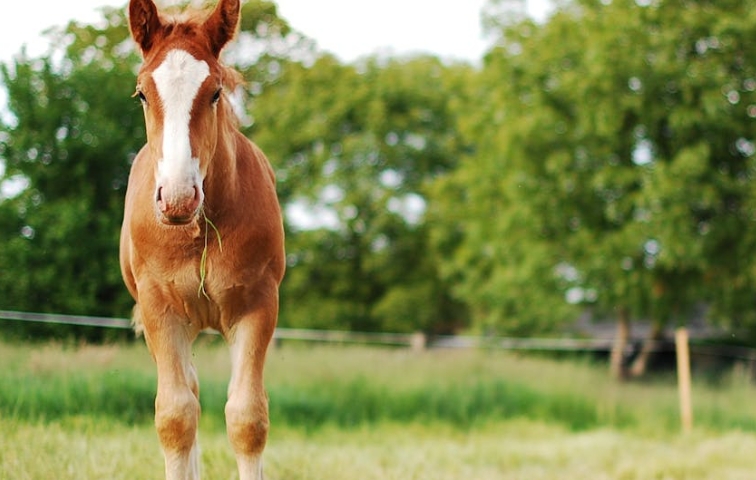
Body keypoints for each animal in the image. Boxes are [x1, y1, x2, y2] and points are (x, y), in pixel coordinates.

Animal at [119, 1, 284, 478]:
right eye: (141, 93)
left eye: (214, 92)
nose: (177, 197)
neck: (198, 232)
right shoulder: (159, 308)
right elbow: (175, 417)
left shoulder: (257, 305)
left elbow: (247, 418)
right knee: (186, 395)